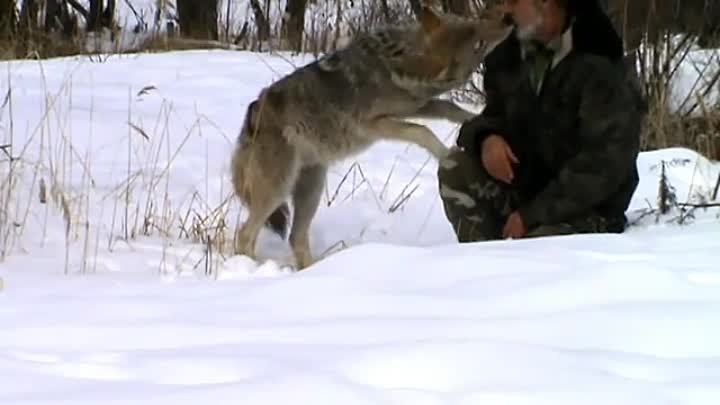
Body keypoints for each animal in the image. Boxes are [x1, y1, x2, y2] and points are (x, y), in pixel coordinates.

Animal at [231, 3, 512, 268]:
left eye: (473, 22)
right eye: (478, 43)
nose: (508, 20)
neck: (399, 64)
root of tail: (250, 117)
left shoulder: (416, 106)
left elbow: (449, 108)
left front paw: (476, 120)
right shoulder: (374, 125)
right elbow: (421, 130)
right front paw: (447, 153)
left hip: (311, 191)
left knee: (295, 237)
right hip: (277, 191)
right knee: (245, 235)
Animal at [438, 0, 648, 241]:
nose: (506, 16)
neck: (546, 48)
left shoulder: (603, 81)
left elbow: (601, 152)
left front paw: (520, 221)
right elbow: (491, 118)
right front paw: (493, 150)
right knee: (455, 164)